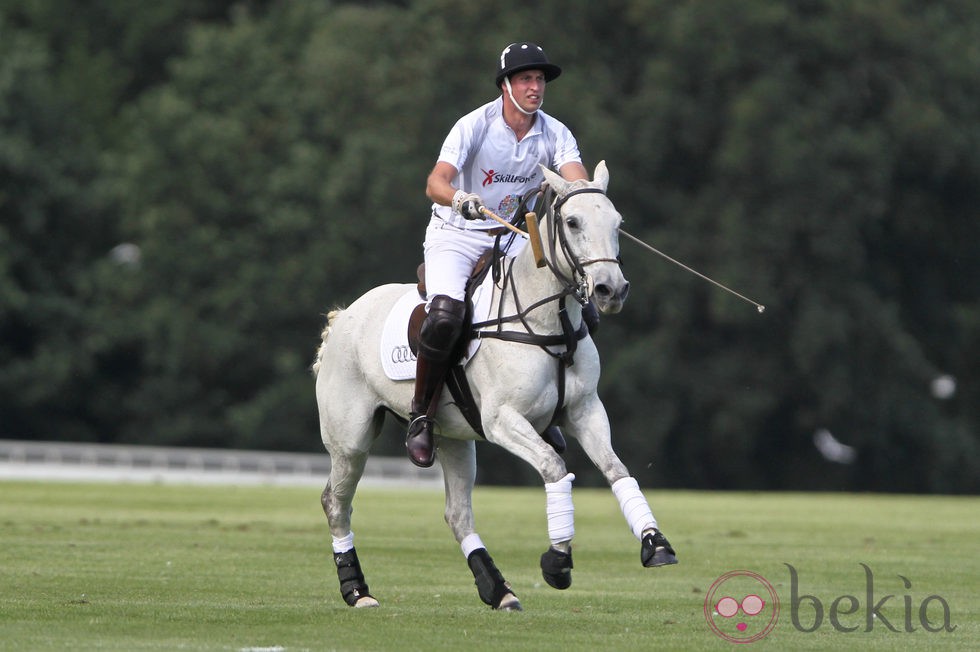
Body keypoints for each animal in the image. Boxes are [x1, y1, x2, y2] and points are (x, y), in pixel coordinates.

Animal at [314, 160, 672, 608]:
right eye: (572, 222)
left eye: (617, 223)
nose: (612, 290)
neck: (546, 322)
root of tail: (343, 317)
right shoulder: (502, 419)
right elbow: (554, 466)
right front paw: (557, 562)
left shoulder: (586, 409)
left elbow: (615, 468)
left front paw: (655, 543)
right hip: (350, 437)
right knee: (335, 502)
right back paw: (357, 590)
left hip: (453, 438)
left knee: (457, 513)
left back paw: (498, 590)